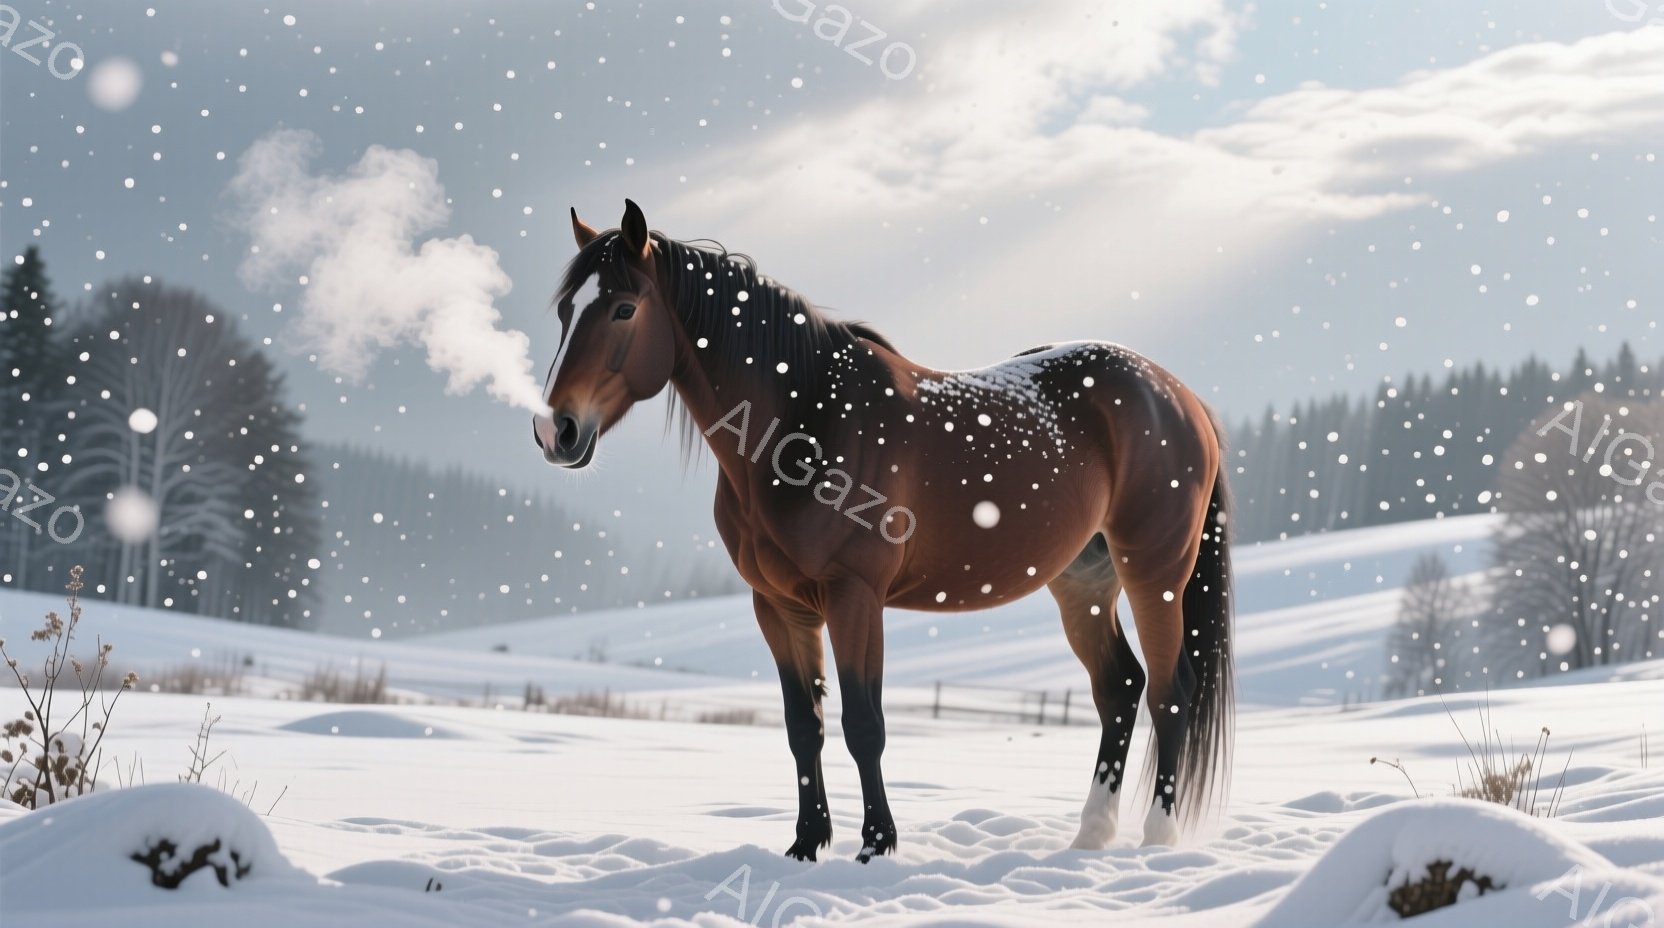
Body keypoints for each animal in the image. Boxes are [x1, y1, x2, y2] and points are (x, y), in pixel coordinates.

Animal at [535, 200, 1234, 862]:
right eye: (566, 310)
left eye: (624, 308)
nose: (554, 431)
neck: (806, 424)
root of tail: (1181, 397)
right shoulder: (779, 606)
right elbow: (804, 726)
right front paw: (806, 844)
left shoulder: (854, 597)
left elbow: (863, 723)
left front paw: (875, 844)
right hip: (1083, 584)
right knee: (1119, 688)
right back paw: (1090, 836)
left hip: (1154, 575)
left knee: (1171, 691)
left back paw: (1157, 837)